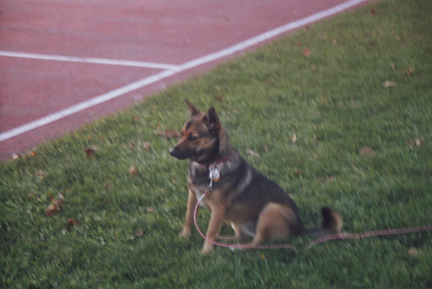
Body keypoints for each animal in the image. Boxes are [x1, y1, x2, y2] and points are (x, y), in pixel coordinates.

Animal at [170, 100, 342, 253]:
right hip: (237, 222)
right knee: (242, 237)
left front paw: (206, 251)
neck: (209, 164)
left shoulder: (218, 209)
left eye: (193, 137)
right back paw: (224, 240)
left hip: (270, 211)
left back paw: (236, 248)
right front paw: (185, 236)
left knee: (256, 242)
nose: (171, 152)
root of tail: (299, 229)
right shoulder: (193, 196)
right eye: (181, 134)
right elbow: (188, 218)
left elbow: (210, 230)